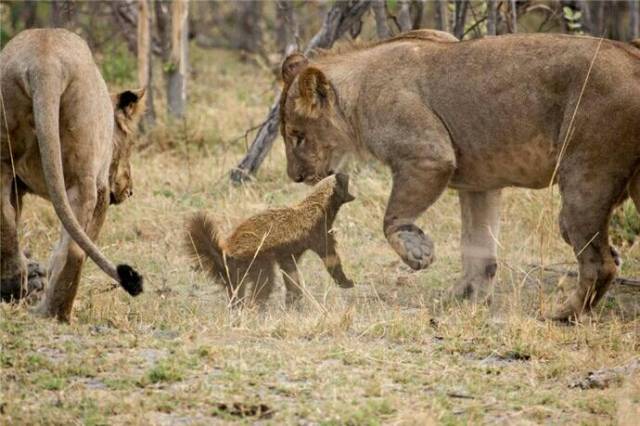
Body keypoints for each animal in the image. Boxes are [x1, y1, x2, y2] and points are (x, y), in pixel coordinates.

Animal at [0, 29, 145, 320]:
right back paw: (55, 313)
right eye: (130, 143)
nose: (130, 190)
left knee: (5, 219)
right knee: (75, 249)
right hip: (84, 176)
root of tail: (45, 62)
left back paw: (14, 288)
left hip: (2, 154)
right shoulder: (102, 189)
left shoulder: (17, 185)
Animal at [185, 173, 356, 306]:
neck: (318, 206)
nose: (346, 173)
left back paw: (237, 307)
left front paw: (293, 300)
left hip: (238, 272)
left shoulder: (288, 253)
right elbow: (331, 258)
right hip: (257, 260)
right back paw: (256, 307)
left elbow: (291, 274)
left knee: (236, 290)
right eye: (344, 180)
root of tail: (226, 253)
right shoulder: (318, 233)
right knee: (263, 283)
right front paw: (346, 282)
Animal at [278, 30, 640, 322]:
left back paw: (562, 314)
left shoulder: (429, 156)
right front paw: (463, 297)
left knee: (600, 262)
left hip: (585, 177)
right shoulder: (480, 183)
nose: (295, 176)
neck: (356, 95)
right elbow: (477, 248)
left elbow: (391, 218)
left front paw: (418, 253)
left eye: (297, 136)